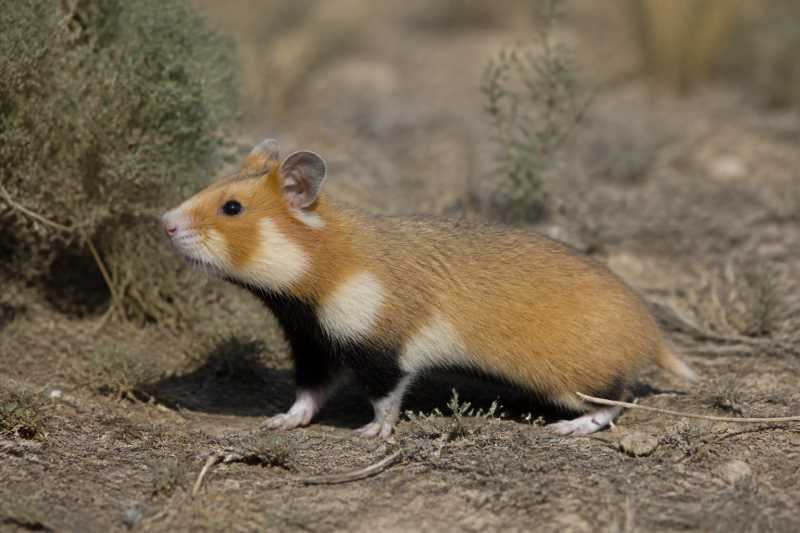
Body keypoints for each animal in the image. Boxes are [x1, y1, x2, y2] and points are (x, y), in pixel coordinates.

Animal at [161, 138, 695, 438]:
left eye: (232, 207)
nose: (163, 222)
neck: (321, 271)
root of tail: (652, 334)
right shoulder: (315, 343)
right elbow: (307, 395)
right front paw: (282, 422)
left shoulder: (384, 350)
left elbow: (386, 399)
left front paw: (373, 433)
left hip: (570, 381)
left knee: (616, 402)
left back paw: (570, 428)